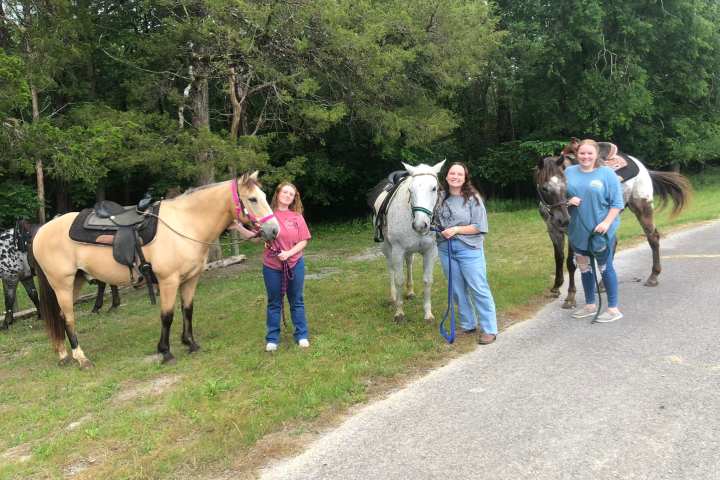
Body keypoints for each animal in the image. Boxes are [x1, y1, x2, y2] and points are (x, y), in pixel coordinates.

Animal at [31, 173, 278, 368]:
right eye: (253, 199)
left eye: (265, 196)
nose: (274, 230)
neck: (186, 223)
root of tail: (42, 230)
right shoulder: (168, 281)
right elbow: (167, 316)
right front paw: (165, 352)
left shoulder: (190, 279)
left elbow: (188, 310)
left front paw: (191, 343)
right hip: (62, 284)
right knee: (69, 318)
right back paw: (81, 358)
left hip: (76, 281)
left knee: (60, 315)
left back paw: (64, 355)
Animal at [372, 161, 444, 322]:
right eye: (411, 189)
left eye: (434, 188)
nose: (420, 225)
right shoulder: (398, 250)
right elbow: (399, 279)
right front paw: (399, 313)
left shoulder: (430, 251)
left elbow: (427, 280)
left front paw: (428, 314)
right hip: (387, 248)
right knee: (391, 269)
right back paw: (393, 297)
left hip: (409, 251)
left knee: (409, 263)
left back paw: (410, 292)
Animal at [536, 139, 692, 308]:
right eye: (544, 188)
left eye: (566, 185)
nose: (564, 219)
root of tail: (643, 168)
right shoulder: (553, 230)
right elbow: (558, 258)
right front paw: (556, 287)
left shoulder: (573, 231)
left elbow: (571, 263)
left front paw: (570, 296)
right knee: (613, 244)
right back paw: (603, 284)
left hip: (642, 208)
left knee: (653, 238)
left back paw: (653, 276)